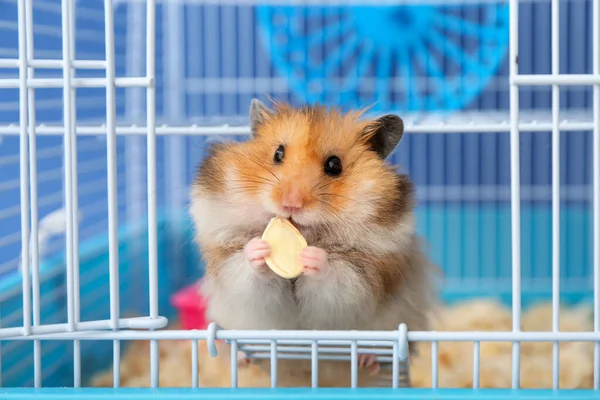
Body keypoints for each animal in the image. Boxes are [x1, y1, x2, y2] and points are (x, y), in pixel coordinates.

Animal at [190, 98, 438, 386]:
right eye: (278, 154)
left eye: (334, 165)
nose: (291, 203)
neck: (308, 234)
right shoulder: (229, 266)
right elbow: (244, 269)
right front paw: (259, 249)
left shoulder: (365, 276)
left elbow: (337, 276)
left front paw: (314, 257)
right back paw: (242, 356)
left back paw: (368, 358)